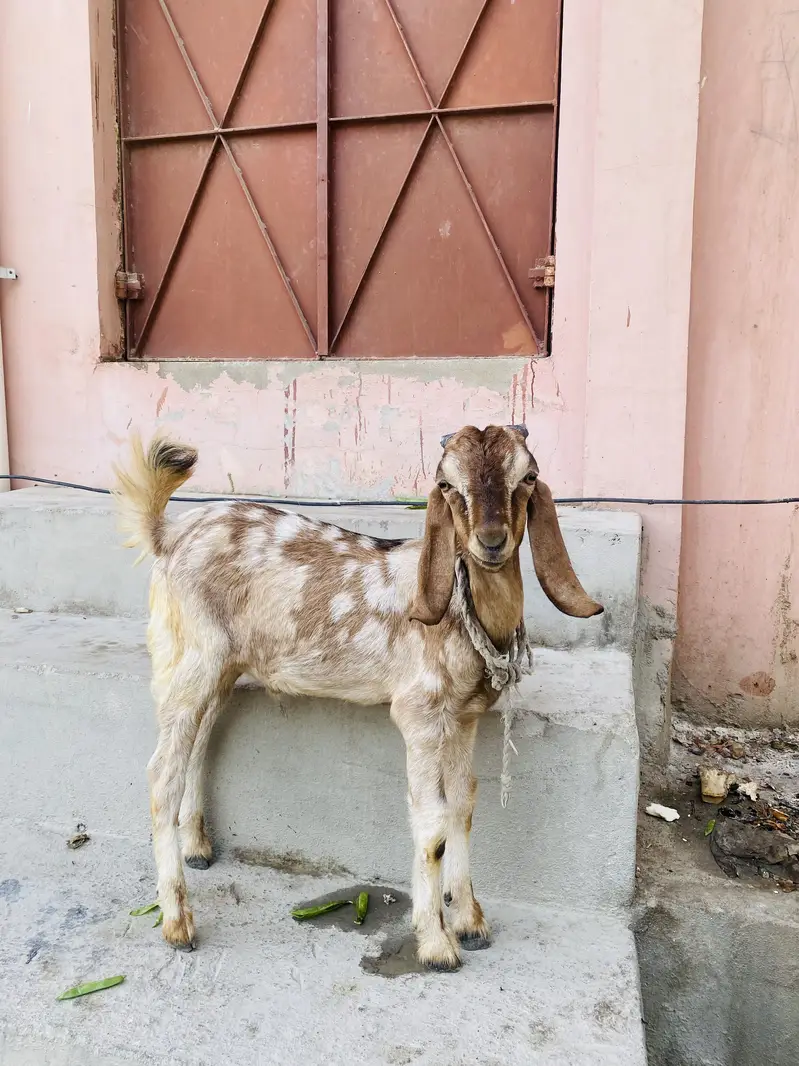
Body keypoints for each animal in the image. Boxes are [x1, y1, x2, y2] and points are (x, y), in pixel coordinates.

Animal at [114, 424, 602, 971]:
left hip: (220, 667)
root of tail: (167, 536)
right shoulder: (419, 714)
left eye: (528, 477)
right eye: (447, 484)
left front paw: (471, 921)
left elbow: (463, 807)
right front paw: (437, 945)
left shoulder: (464, 717)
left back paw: (197, 847)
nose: (491, 542)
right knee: (162, 774)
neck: (460, 609)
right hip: (192, 658)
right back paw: (177, 922)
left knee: (197, 744)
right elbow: (432, 824)